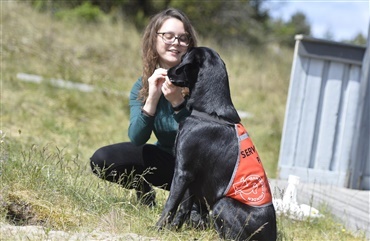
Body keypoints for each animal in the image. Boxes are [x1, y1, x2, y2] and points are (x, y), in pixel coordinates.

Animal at [157, 47, 278, 241]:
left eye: (183, 59)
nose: (168, 71)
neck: (208, 112)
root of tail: (272, 236)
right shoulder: (192, 178)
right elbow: (183, 208)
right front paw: (173, 231)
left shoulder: (183, 172)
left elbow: (170, 205)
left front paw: (157, 229)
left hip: (222, 203)